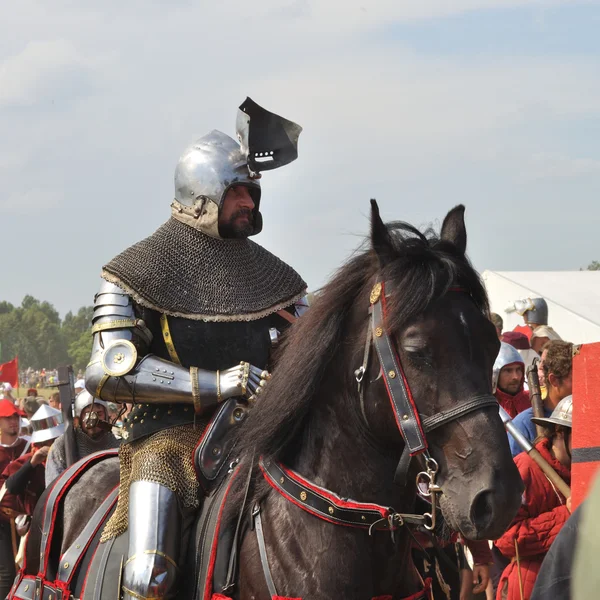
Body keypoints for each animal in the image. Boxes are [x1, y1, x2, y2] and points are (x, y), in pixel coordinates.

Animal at [23, 203, 524, 600]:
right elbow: (112, 366)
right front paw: (241, 379)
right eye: (418, 351)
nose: (496, 498)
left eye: (491, 342)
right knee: (150, 572)